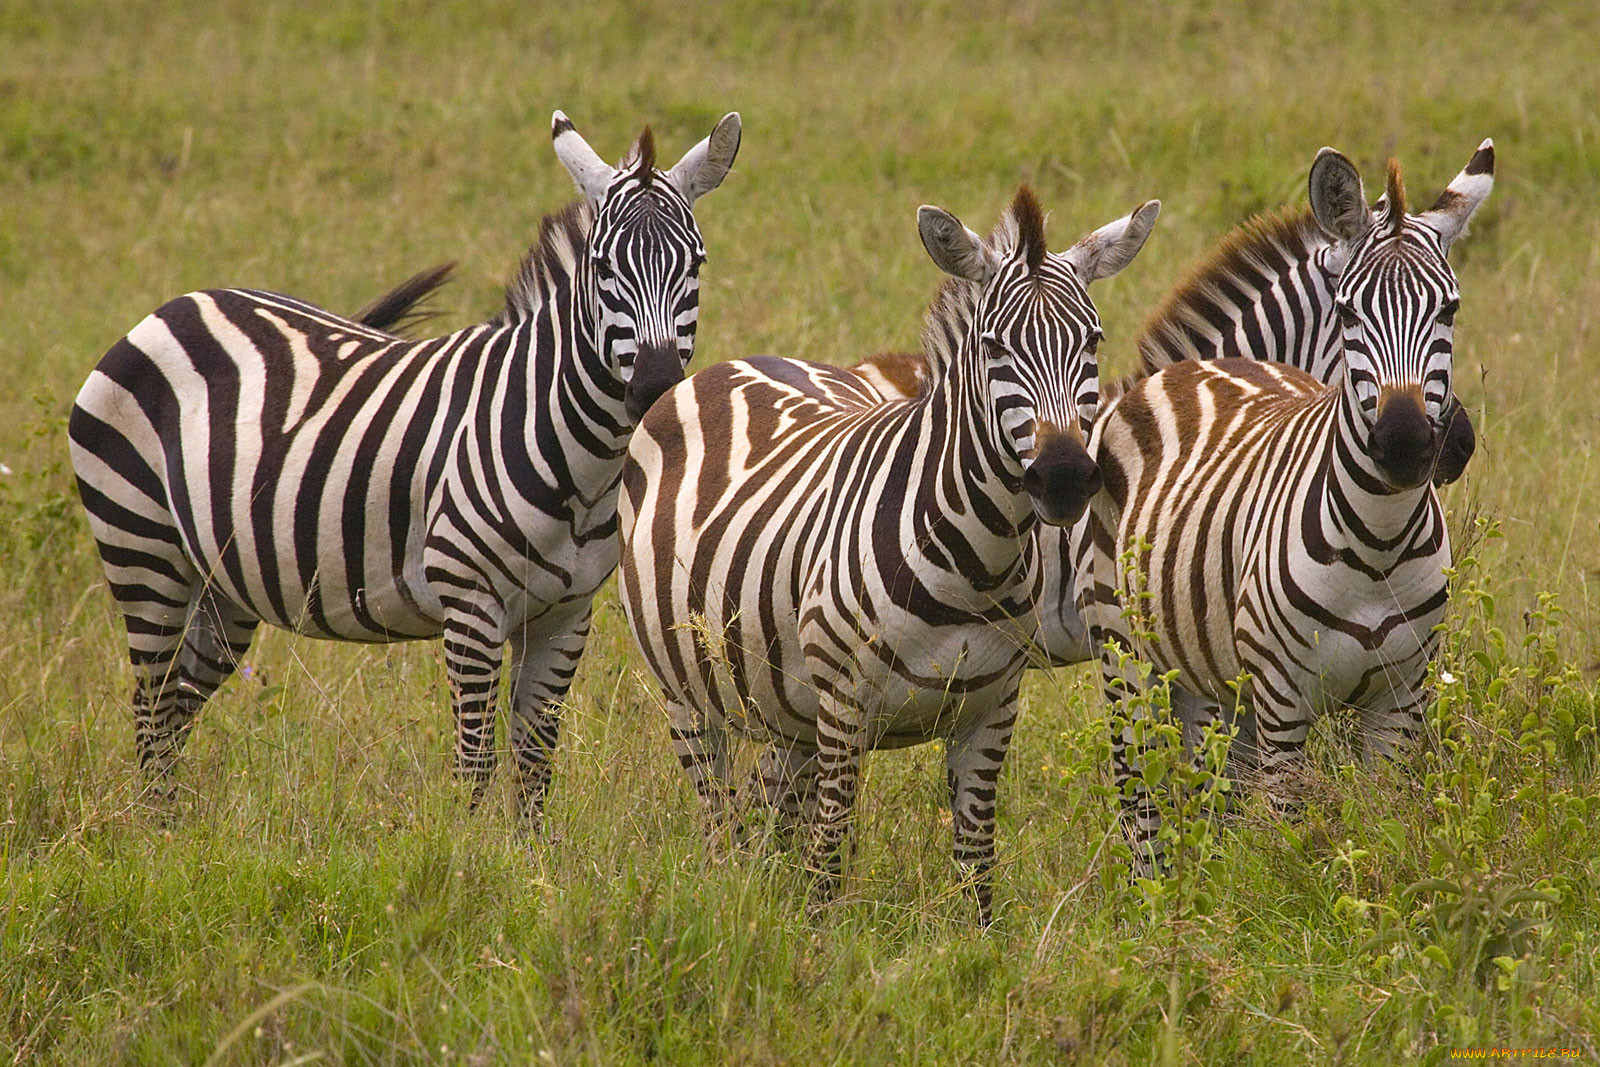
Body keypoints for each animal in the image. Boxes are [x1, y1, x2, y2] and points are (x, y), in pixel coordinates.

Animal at [68, 108, 742, 825]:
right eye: (602, 267)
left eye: (696, 263)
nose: (657, 385)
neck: (580, 467)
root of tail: (176, 305)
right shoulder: (470, 606)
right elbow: (476, 764)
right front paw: (471, 850)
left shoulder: (565, 614)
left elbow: (536, 764)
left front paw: (534, 855)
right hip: (143, 547)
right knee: (151, 702)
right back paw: (156, 830)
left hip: (222, 580)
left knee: (177, 703)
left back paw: (172, 827)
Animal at [617, 185, 1158, 921]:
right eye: (993, 347)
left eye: (1092, 342)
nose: (1066, 477)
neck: (976, 565)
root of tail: (731, 364)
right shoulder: (844, 706)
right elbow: (829, 857)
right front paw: (817, 938)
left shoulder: (993, 709)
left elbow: (975, 861)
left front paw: (976, 939)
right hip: (686, 692)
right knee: (720, 818)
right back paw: (730, 897)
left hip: (786, 707)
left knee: (772, 815)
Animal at [1068, 139, 1491, 876]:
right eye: (1349, 314)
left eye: (1450, 310)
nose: (1414, 444)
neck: (1377, 540)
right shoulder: (1281, 699)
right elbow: (1289, 836)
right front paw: (1285, 896)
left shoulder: (1398, 701)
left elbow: (1376, 835)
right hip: (1124, 651)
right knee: (1141, 800)